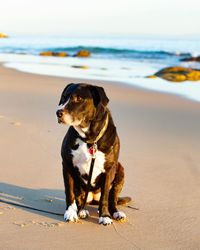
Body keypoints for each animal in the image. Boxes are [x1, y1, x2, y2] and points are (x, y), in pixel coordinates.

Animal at [56, 83, 130, 226]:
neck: (89, 140)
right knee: (80, 199)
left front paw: (105, 216)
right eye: (63, 97)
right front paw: (70, 213)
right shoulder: (67, 165)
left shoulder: (109, 169)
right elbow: (69, 192)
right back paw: (82, 211)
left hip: (120, 170)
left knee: (112, 199)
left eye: (79, 98)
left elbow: (105, 197)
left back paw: (115, 213)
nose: (58, 112)